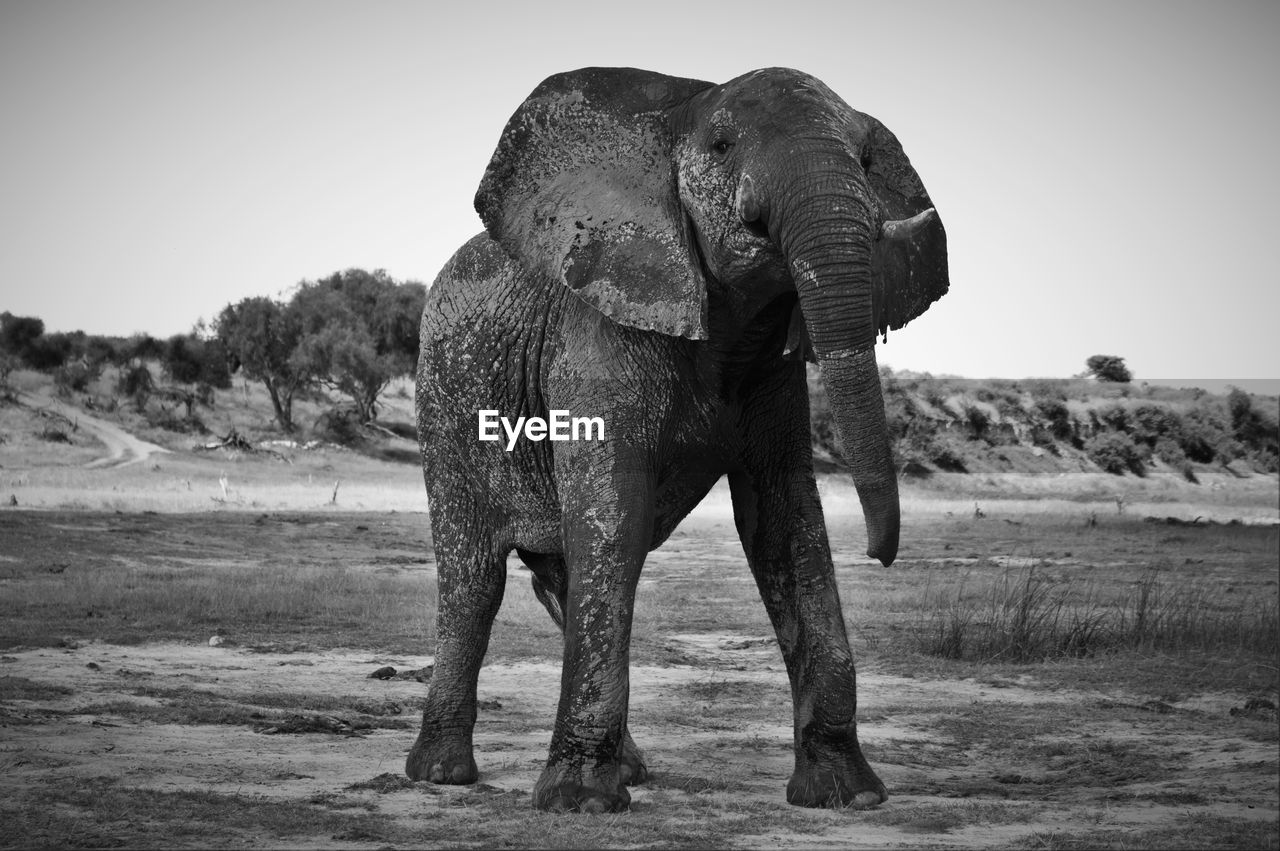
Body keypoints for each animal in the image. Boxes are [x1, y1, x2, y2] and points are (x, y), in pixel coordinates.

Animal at [409, 66, 952, 808]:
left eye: (868, 159)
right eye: (722, 146)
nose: (880, 552)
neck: (679, 106)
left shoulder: (775, 373)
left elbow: (784, 520)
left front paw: (846, 795)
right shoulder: (597, 334)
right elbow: (616, 513)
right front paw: (579, 804)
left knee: (560, 573)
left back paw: (628, 768)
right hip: (446, 402)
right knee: (474, 579)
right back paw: (441, 775)